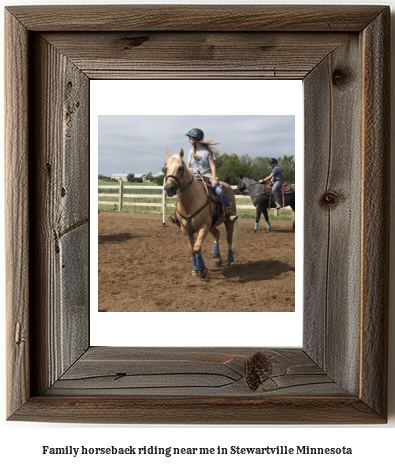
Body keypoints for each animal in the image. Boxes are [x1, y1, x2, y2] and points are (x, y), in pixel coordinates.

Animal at [163, 149, 240, 278]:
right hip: (212, 224)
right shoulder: (186, 230)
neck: (190, 202)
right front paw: (195, 269)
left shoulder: (204, 226)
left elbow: (197, 247)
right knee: (217, 234)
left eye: (180, 167)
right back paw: (217, 258)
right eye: (166, 168)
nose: (169, 188)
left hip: (227, 221)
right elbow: (191, 249)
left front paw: (202, 270)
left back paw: (230, 259)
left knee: (229, 238)